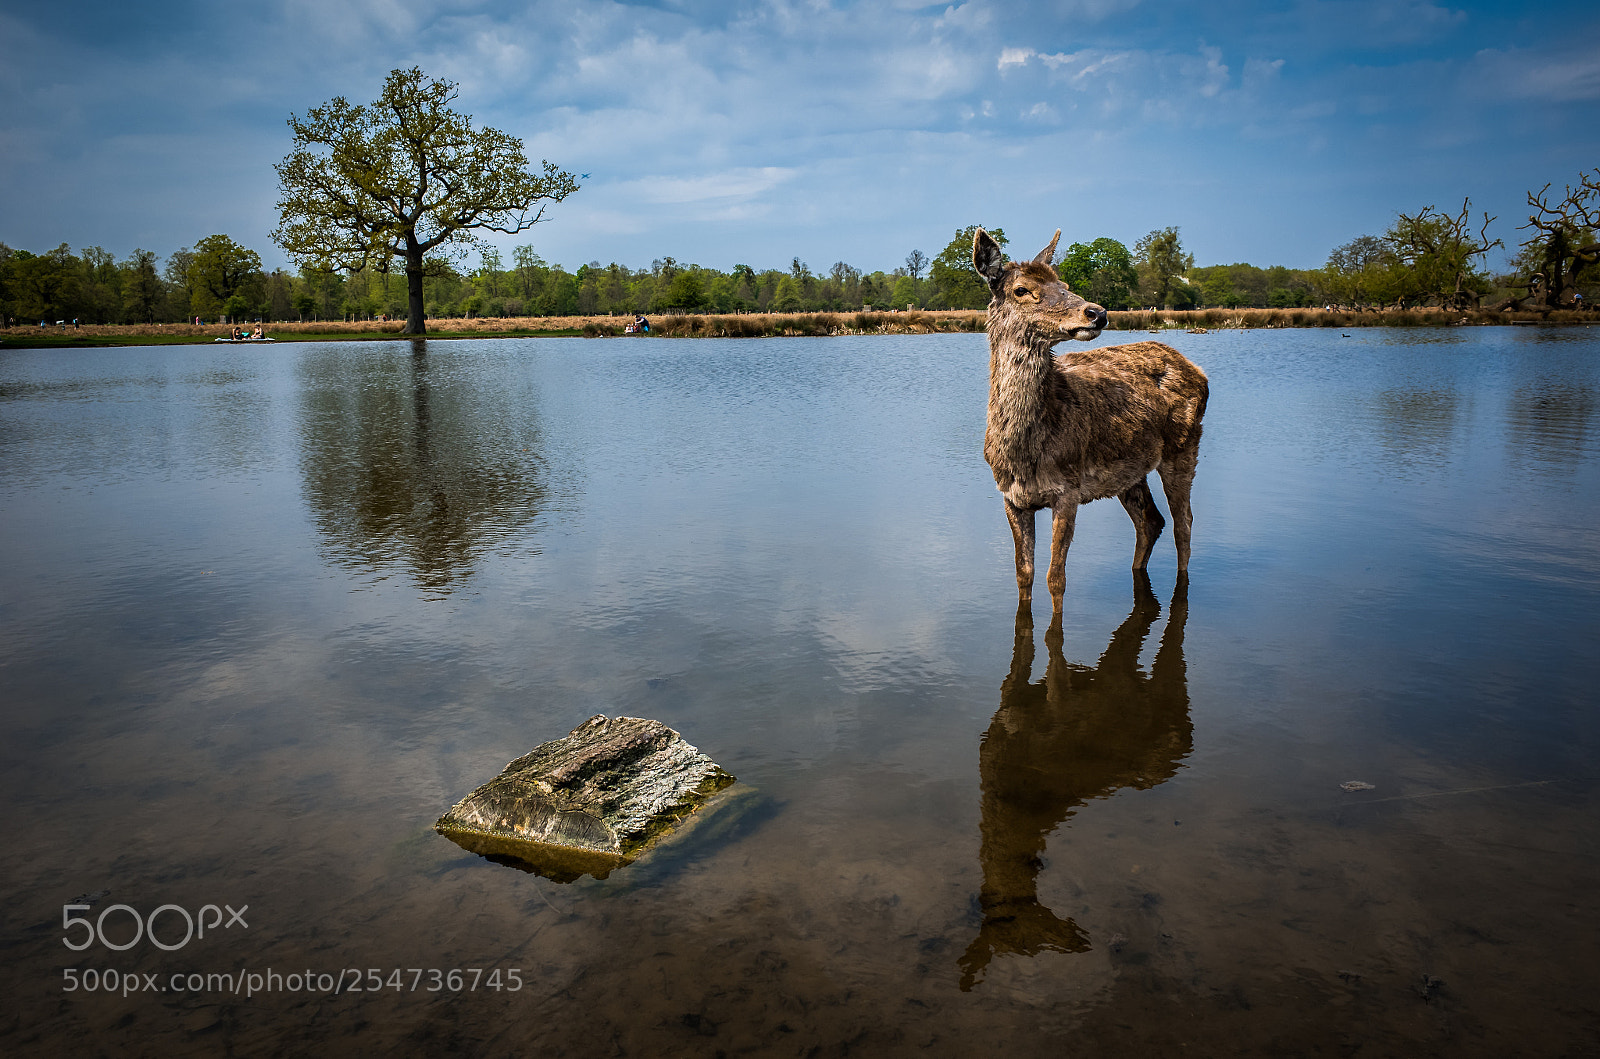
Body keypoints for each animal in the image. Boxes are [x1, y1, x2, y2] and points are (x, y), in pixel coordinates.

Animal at [974, 228, 1208, 614]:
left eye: (1064, 282)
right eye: (1020, 289)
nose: (1096, 312)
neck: (1023, 451)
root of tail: (1199, 373)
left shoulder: (1068, 489)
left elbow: (1056, 579)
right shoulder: (1010, 496)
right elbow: (1024, 575)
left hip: (1184, 446)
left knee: (1183, 524)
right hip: (1131, 469)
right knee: (1151, 521)